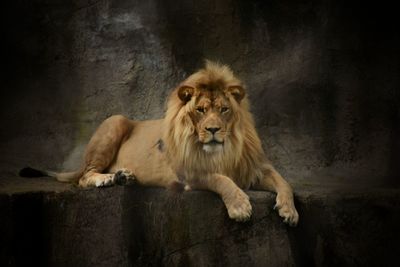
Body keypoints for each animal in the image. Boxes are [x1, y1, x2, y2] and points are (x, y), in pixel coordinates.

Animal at [20, 60, 298, 226]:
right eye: (200, 110)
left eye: (224, 109)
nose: (213, 129)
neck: (223, 151)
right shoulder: (188, 174)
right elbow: (220, 179)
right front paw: (240, 206)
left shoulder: (256, 167)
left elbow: (284, 182)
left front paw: (289, 211)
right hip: (115, 121)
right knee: (84, 177)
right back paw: (107, 179)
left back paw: (123, 177)